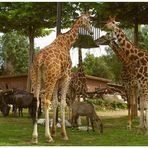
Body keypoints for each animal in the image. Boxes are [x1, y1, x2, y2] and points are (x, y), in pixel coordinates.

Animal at [30, 13, 92, 143]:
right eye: (89, 21)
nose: (91, 32)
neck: (67, 43)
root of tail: (40, 60)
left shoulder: (57, 79)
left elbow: (55, 102)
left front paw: (54, 132)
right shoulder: (66, 77)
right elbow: (62, 103)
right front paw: (63, 134)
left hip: (37, 79)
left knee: (37, 101)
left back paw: (35, 137)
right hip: (50, 79)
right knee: (45, 101)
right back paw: (47, 137)